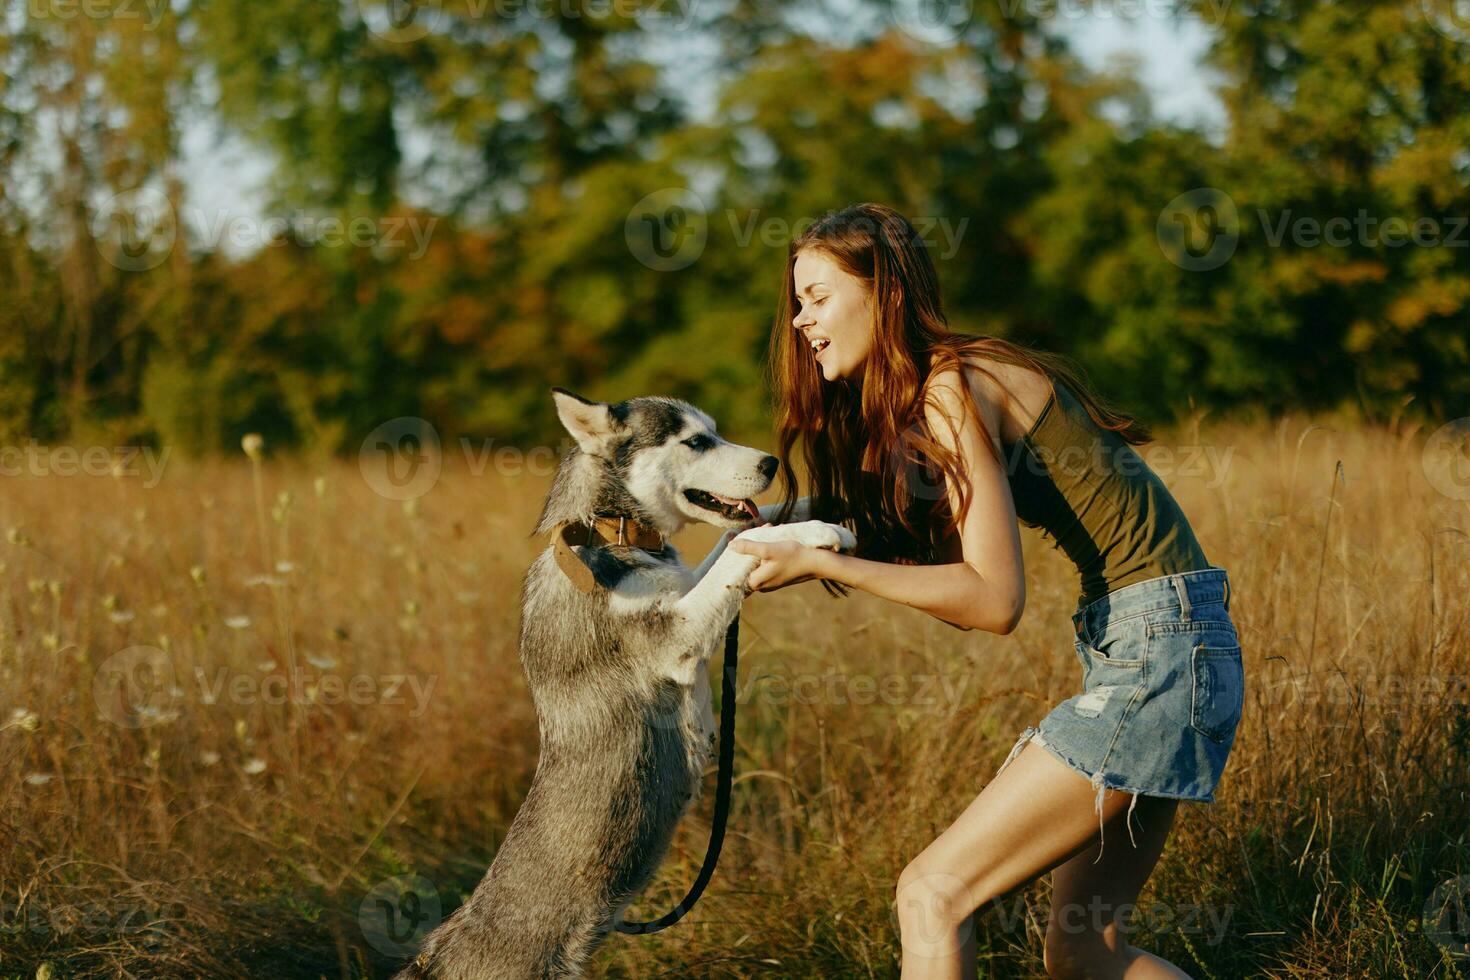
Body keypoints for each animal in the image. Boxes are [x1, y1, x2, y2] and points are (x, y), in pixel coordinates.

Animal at [396, 387, 858, 975]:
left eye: (715, 430)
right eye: (695, 441)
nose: (772, 463)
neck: (607, 529)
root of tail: (434, 954)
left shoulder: (686, 589)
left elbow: (742, 529)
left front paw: (817, 503)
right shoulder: (676, 639)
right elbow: (739, 543)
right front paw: (819, 530)